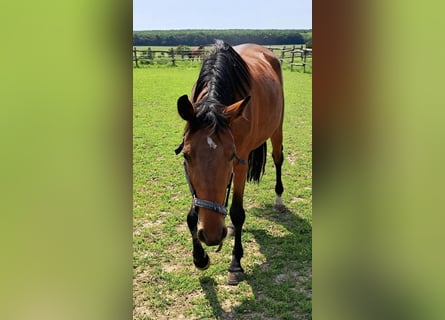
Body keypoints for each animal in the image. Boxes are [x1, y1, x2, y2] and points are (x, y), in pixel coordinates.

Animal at [174, 40, 284, 284]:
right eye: (186, 155)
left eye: (231, 155)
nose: (212, 235)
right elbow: (192, 216)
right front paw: (200, 258)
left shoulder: (240, 162)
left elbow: (237, 211)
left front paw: (235, 263)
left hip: (277, 129)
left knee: (278, 159)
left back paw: (279, 199)